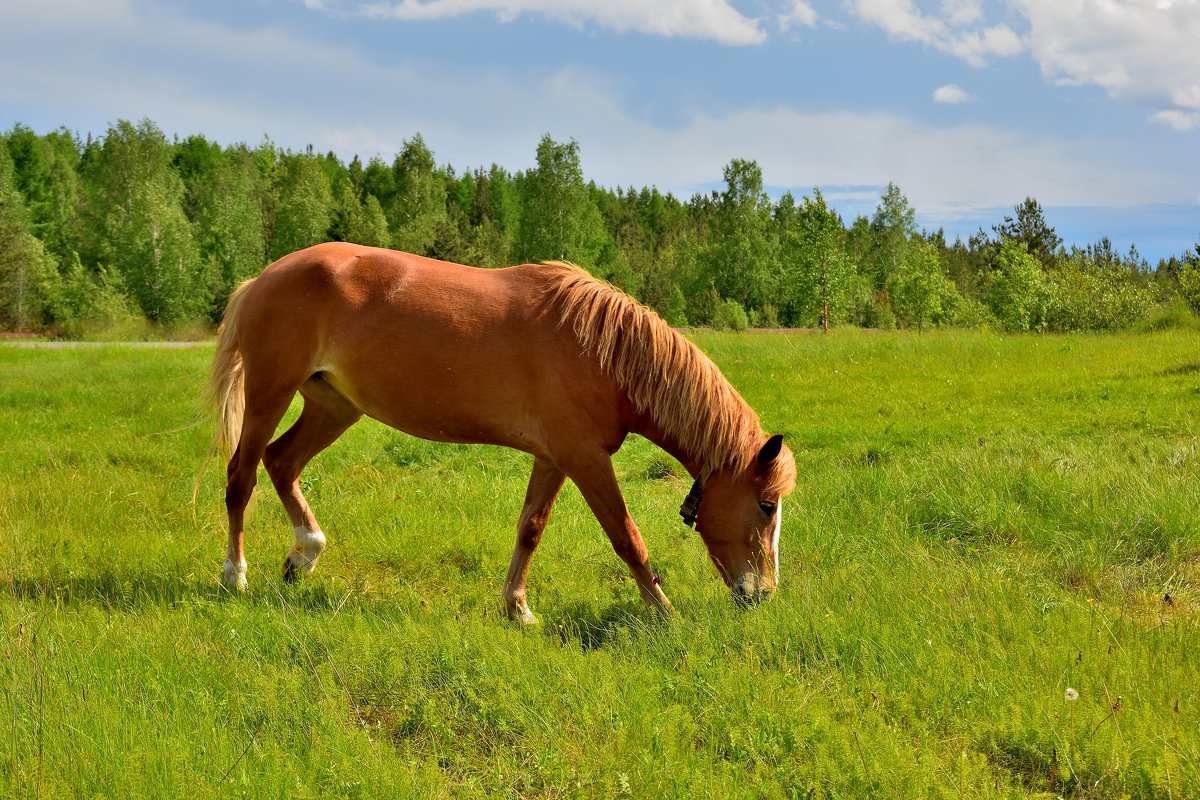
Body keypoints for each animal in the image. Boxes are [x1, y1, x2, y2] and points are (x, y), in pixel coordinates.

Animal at [208, 241, 796, 623]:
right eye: (766, 506)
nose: (765, 594)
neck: (603, 351)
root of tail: (263, 277)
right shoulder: (586, 460)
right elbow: (626, 537)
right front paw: (664, 613)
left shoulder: (554, 458)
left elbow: (530, 528)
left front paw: (517, 607)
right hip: (270, 393)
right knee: (241, 477)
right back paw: (236, 575)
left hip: (334, 407)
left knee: (282, 462)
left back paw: (304, 553)